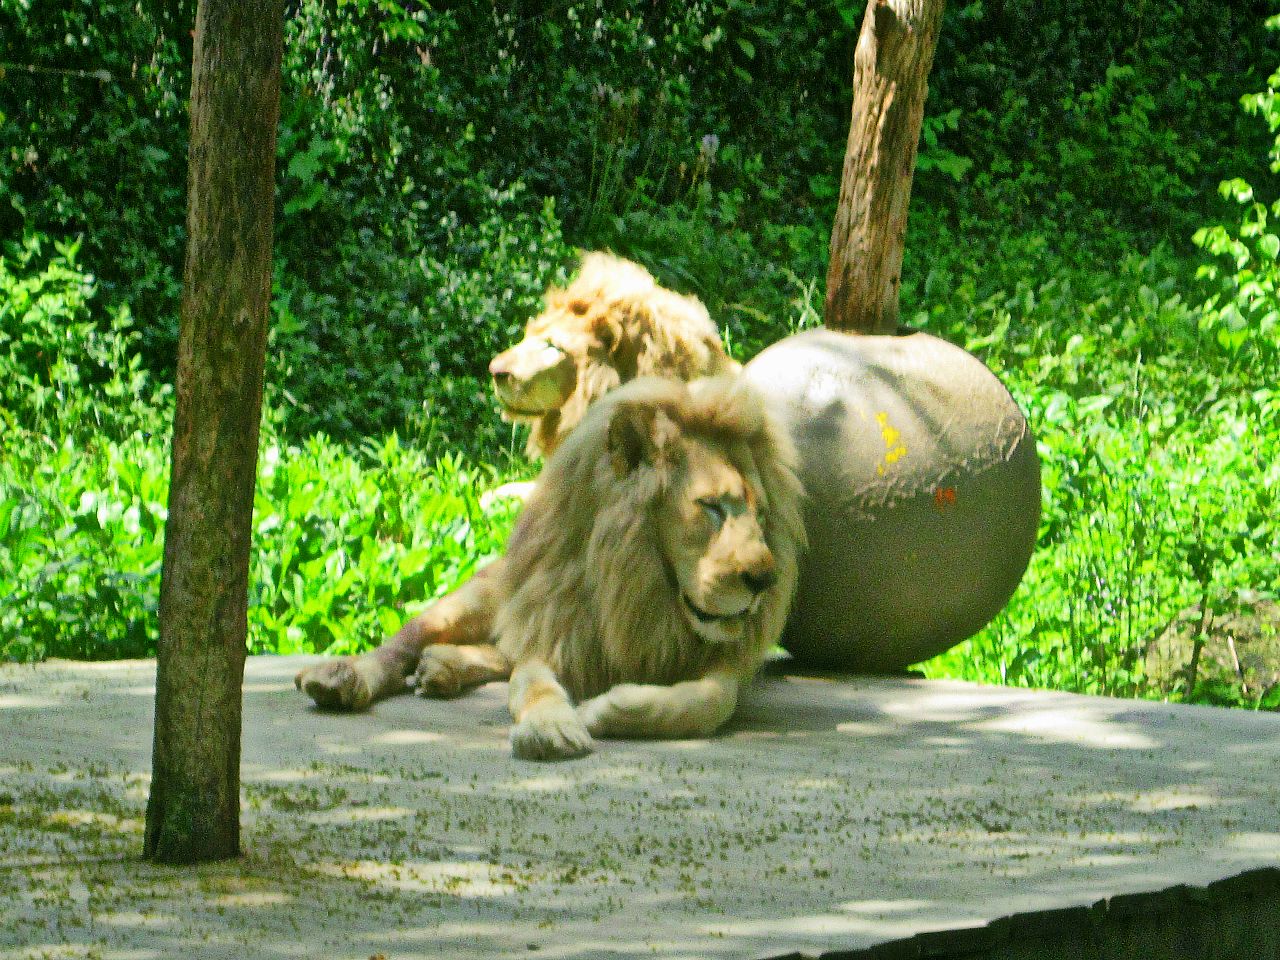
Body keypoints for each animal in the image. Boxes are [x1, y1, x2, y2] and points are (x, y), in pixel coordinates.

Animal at [295, 254, 737, 711]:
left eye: (553, 347)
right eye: (530, 336)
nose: (495, 371)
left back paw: (443, 665)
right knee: (414, 638)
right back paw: (343, 677)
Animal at [496, 375, 805, 759]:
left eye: (761, 515)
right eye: (711, 506)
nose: (765, 580)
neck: (636, 588)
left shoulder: (724, 667)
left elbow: (711, 700)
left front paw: (600, 709)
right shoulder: (550, 634)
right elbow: (532, 684)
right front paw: (549, 729)